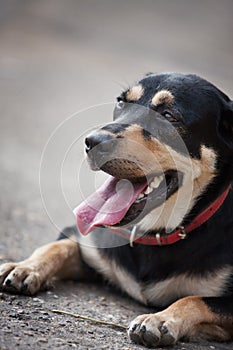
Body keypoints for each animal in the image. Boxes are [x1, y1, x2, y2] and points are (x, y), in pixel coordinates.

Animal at [0, 73, 233, 348]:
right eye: (121, 102)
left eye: (168, 115)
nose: (91, 142)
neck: (156, 233)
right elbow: (57, 246)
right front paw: (24, 267)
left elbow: (195, 300)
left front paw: (160, 319)